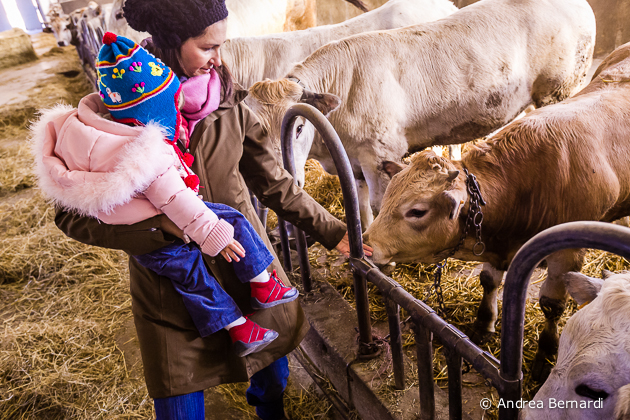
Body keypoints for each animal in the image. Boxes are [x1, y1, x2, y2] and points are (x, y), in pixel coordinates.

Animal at [247, 0, 596, 228]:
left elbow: (380, 204)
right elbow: (361, 207)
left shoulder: (381, 153)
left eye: (298, 128)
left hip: (559, 89)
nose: (285, 178)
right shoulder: (354, 160)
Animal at [362, 42, 630, 384]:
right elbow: (489, 281)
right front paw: (483, 323)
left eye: (417, 211)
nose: (367, 243)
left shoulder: (566, 253)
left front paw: (545, 355)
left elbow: (551, 305)